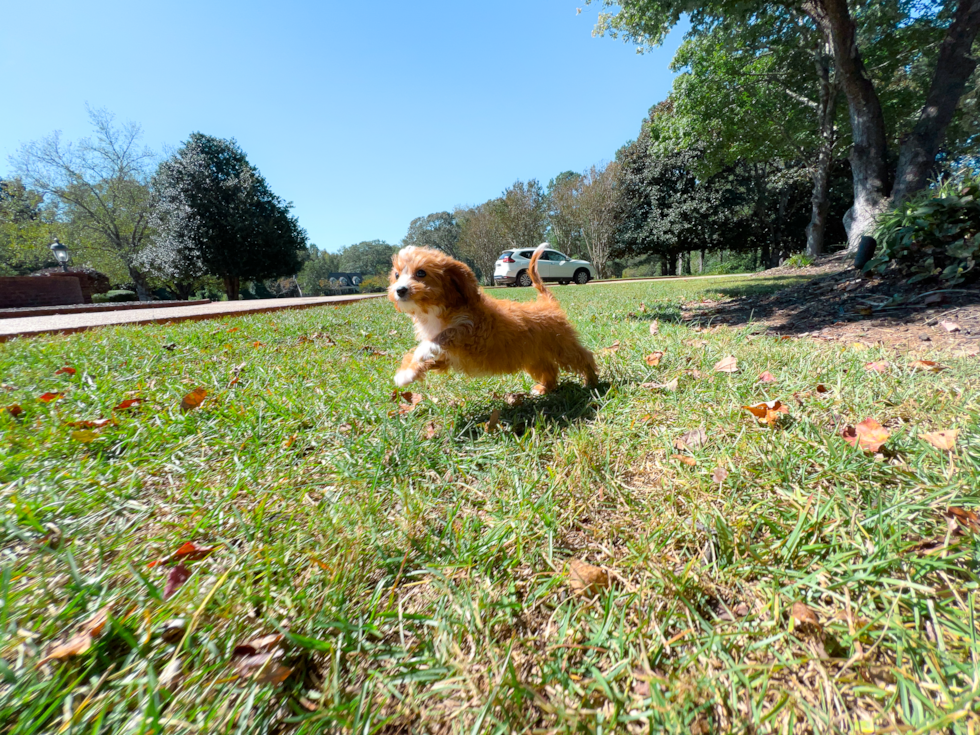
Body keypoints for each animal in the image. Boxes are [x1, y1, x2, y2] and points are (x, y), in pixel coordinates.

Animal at [388, 243, 596, 394]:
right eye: (397, 275)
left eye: (420, 272)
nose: (400, 290)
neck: (434, 312)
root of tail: (547, 302)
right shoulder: (448, 357)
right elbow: (424, 358)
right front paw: (406, 373)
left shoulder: (472, 332)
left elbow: (444, 336)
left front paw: (421, 351)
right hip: (534, 357)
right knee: (550, 369)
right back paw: (544, 388)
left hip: (563, 347)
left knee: (584, 357)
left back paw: (591, 381)